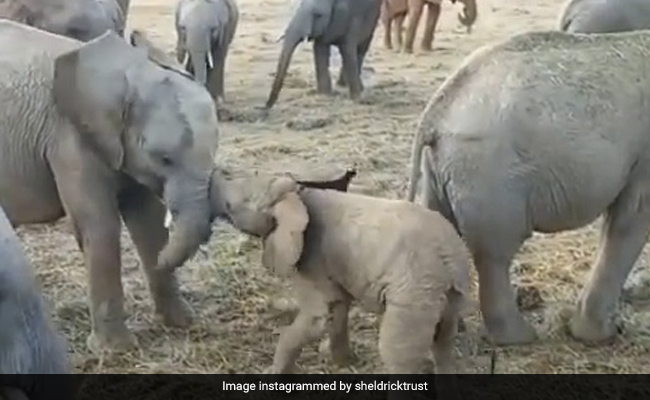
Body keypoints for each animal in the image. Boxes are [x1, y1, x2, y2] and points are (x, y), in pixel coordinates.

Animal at [0, 20, 223, 354]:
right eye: (164, 158)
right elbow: (100, 225)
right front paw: (115, 350)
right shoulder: (69, 140)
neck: (124, 74)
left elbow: (149, 223)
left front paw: (181, 323)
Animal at [206, 172, 471, 375]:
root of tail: (451, 261)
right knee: (443, 341)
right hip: (448, 294)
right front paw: (344, 363)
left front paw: (273, 373)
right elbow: (338, 309)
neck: (298, 194)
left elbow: (320, 316)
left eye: (236, 205)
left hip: (414, 293)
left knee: (398, 353)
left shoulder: (311, 257)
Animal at [406, 29, 650, 346]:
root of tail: (437, 108)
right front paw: (599, 335)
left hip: (441, 169)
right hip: (488, 171)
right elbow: (628, 221)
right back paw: (518, 337)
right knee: (495, 254)